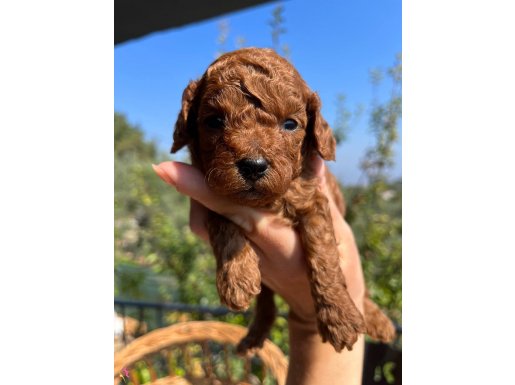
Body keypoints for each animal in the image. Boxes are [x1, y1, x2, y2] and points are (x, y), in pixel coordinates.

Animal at [172, 47, 396, 352]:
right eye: (215, 121)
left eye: (290, 124)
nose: (253, 166)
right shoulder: (211, 194)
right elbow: (222, 224)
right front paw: (236, 277)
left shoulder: (313, 201)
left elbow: (324, 255)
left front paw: (340, 318)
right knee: (266, 302)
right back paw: (254, 334)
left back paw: (375, 319)